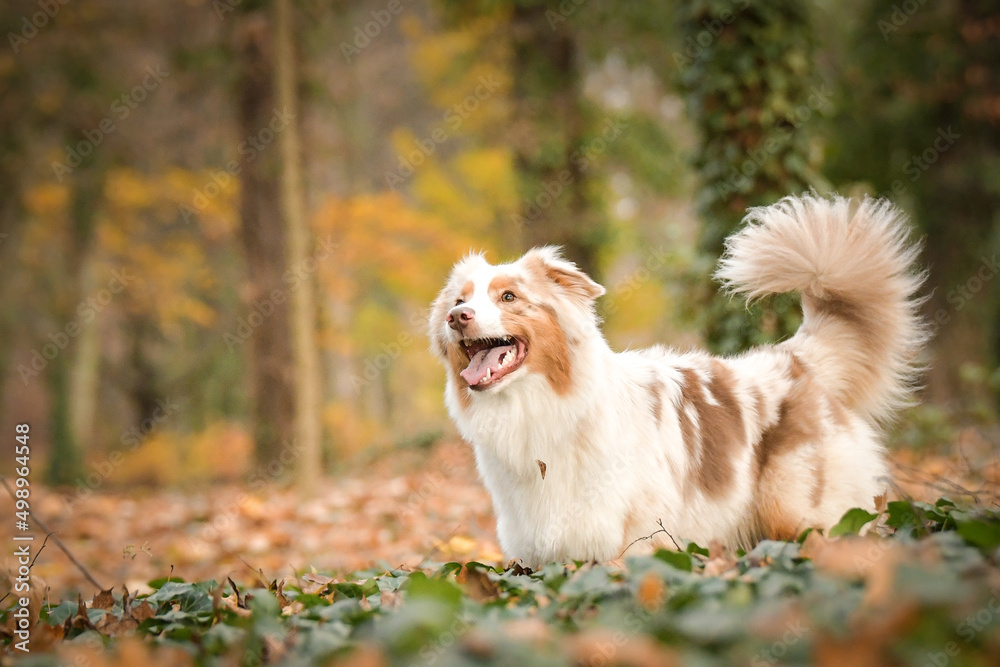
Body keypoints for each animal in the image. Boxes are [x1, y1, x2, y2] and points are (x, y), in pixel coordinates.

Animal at [426, 194, 924, 568]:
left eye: (509, 297)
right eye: (459, 300)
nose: (457, 317)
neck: (542, 409)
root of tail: (796, 357)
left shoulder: (639, 541)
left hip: (803, 513)